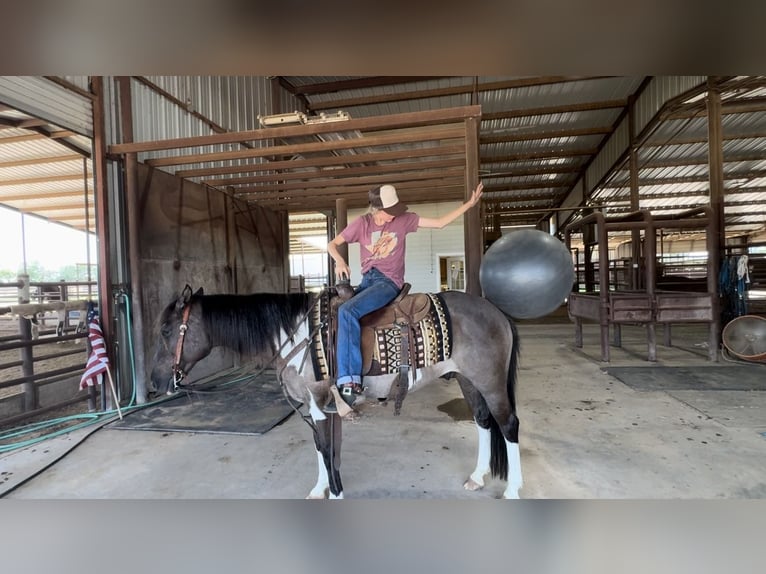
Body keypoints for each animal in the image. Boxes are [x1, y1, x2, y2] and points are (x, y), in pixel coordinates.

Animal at [150, 286, 520, 500]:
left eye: (167, 330)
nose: (155, 381)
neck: (296, 333)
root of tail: (497, 312)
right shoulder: (319, 406)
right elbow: (322, 447)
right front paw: (320, 489)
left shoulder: (317, 401)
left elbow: (327, 450)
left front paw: (335, 492)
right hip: (468, 380)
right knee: (483, 421)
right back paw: (477, 478)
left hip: (489, 381)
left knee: (508, 425)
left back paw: (513, 490)